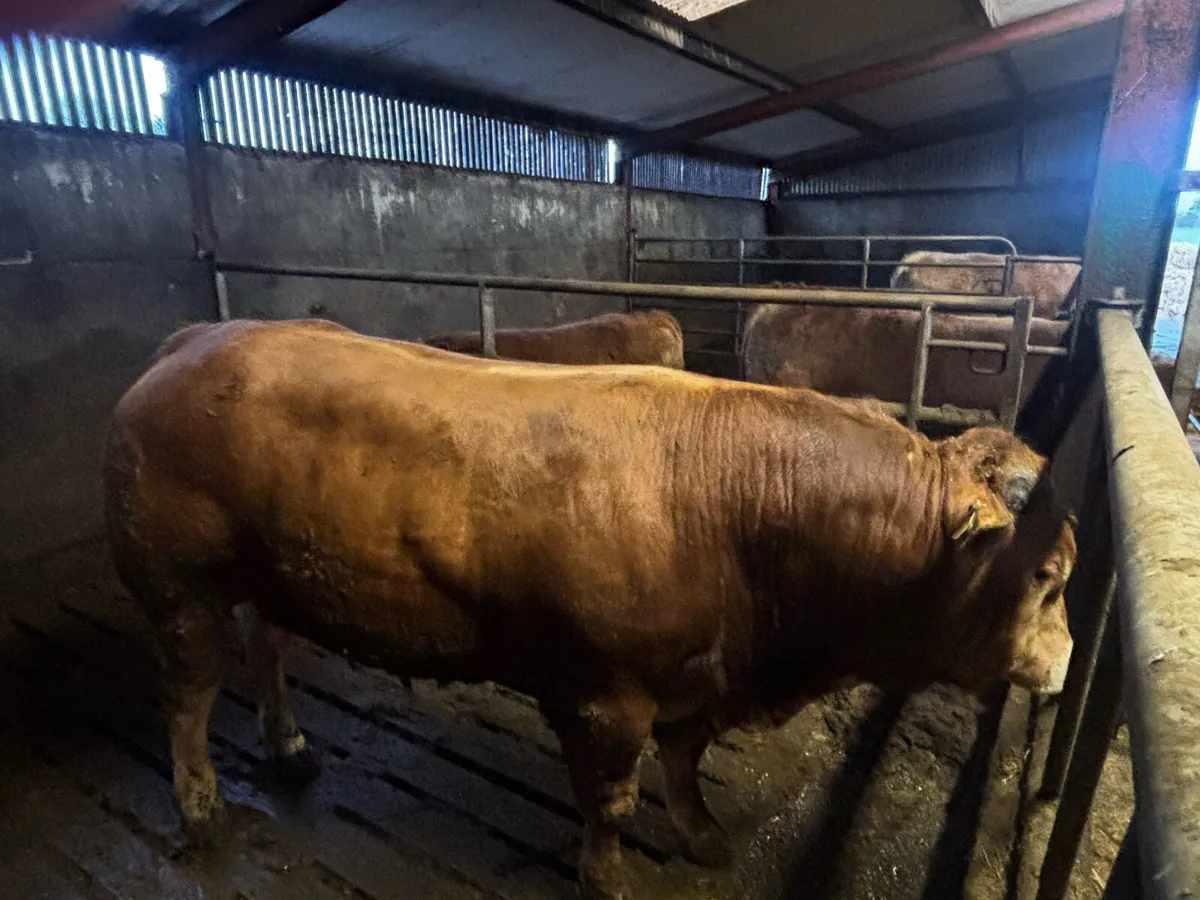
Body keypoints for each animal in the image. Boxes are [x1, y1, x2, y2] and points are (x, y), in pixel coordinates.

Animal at [104, 319, 1075, 900]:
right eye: (1049, 577)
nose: (1067, 659)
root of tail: (197, 338)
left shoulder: (700, 676)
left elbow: (684, 763)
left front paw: (702, 835)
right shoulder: (606, 696)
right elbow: (610, 800)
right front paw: (607, 878)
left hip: (265, 575)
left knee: (265, 647)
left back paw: (291, 747)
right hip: (177, 589)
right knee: (187, 700)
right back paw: (201, 808)